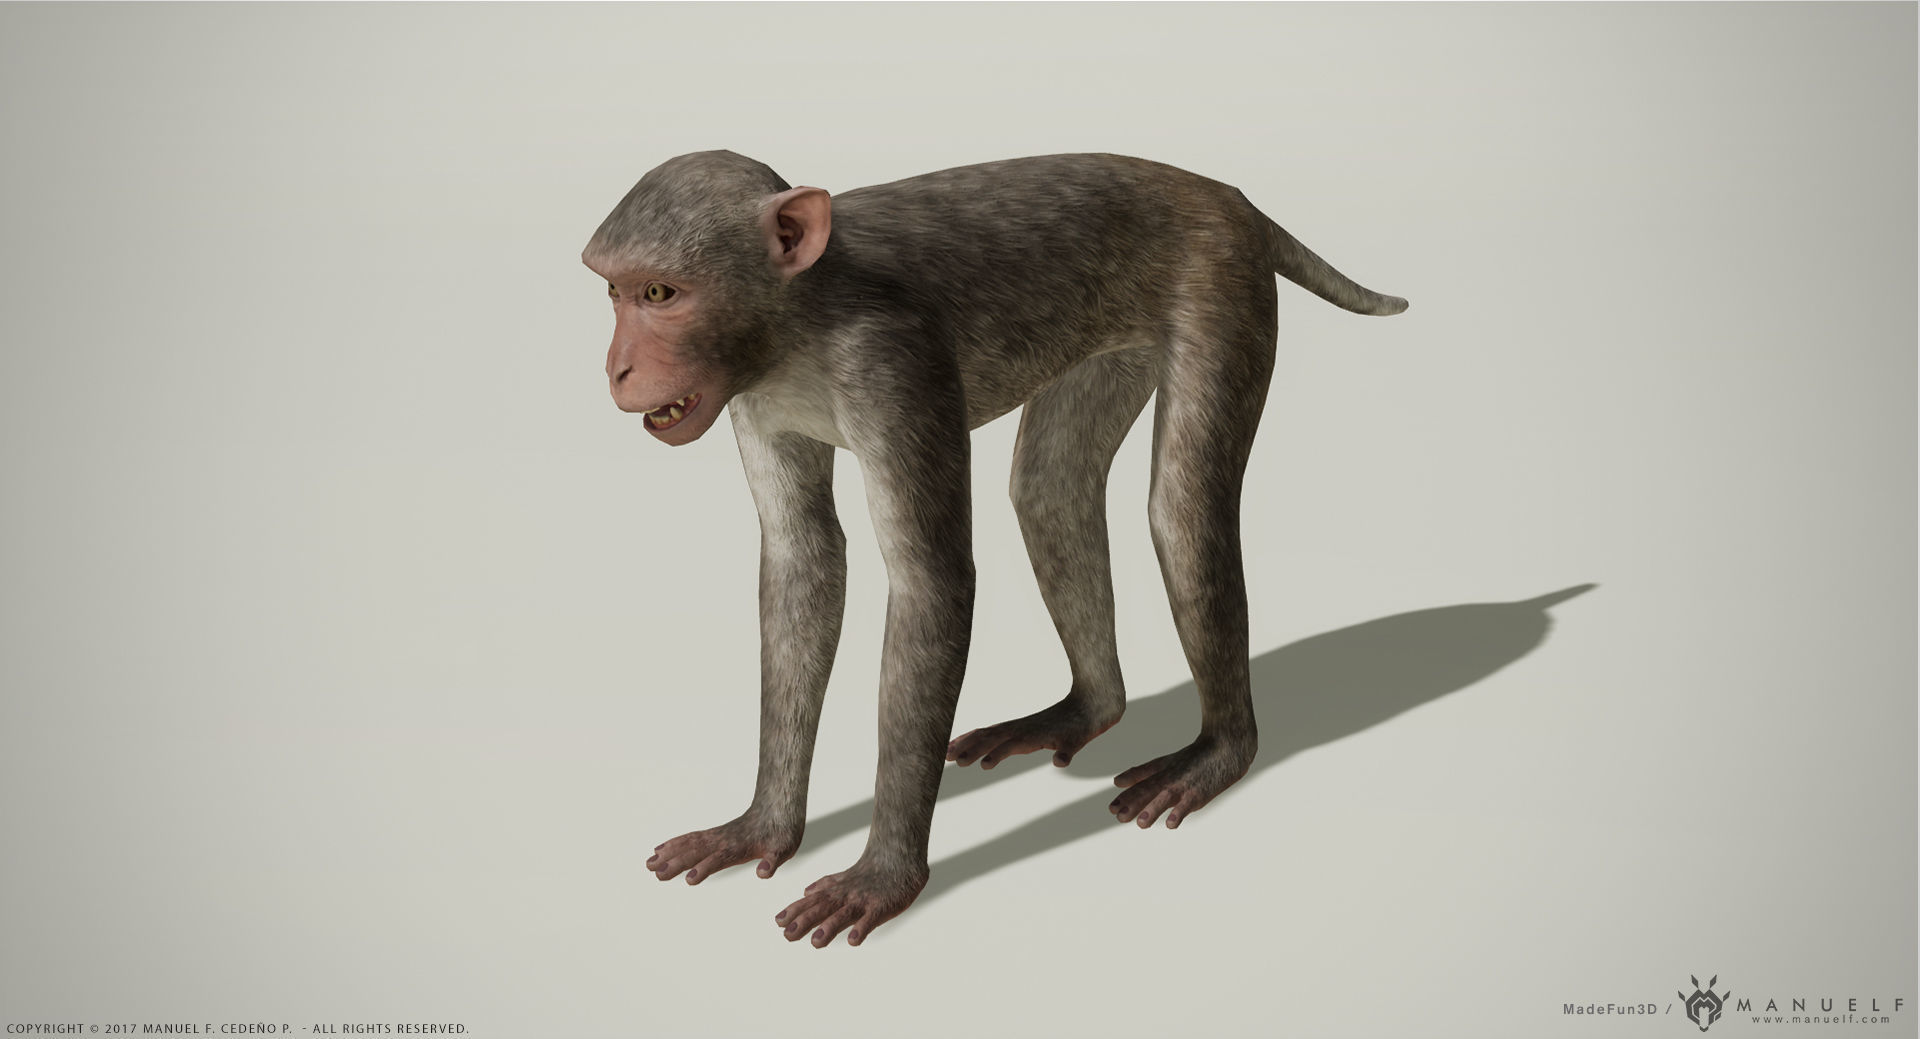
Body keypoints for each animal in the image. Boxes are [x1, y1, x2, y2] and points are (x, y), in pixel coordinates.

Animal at [582, 151, 1407, 948]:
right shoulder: (749, 395)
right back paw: (1089, 708)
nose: (616, 369)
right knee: (1049, 487)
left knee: (1184, 508)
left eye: (660, 292)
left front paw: (886, 876)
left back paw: (1222, 750)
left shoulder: (893, 368)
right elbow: (803, 560)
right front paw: (764, 827)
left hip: (1220, 281)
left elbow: (931, 581)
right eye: (615, 292)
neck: (798, 317)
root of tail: (1221, 192)